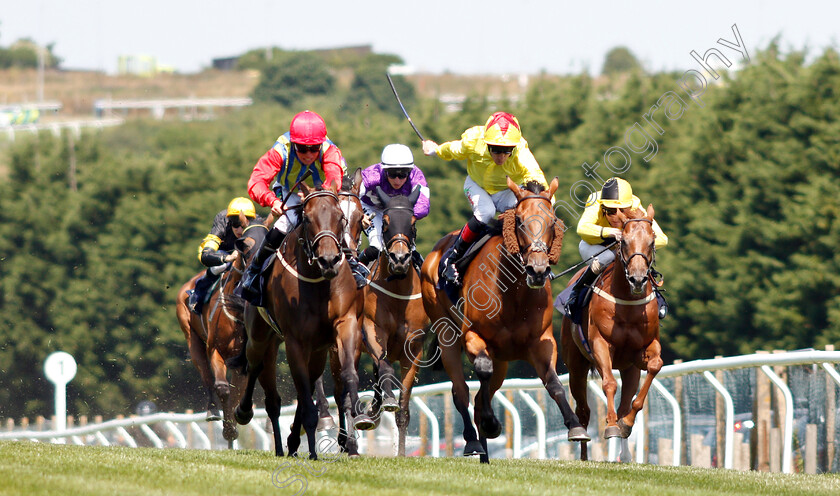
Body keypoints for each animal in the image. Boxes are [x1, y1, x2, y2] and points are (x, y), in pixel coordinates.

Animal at [171, 217, 262, 446]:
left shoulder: (243, 359)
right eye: (246, 247)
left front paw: (236, 423)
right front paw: (228, 430)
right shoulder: (215, 349)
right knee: (205, 374)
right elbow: (222, 386)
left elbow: (238, 390)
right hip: (192, 338)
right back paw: (212, 410)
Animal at [233, 179, 370, 462]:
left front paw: (358, 420)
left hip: (314, 350)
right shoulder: (295, 341)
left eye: (342, 217)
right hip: (261, 337)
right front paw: (313, 448)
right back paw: (250, 416)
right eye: (307, 218)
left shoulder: (346, 325)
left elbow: (346, 376)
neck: (319, 283)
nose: (330, 259)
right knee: (258, 371)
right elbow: (306, 397)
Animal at [360, 185, 430, 454]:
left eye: (413, 223)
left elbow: (404, 408)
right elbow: (384, 367)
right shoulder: (372, 329)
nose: (400, 259)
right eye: (387, 222)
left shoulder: (415, 347)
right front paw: (384, 403)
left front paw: (400, 454)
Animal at [420, 176, 592, 464]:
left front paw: (575, 426)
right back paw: (472, 441)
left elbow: (554, 382)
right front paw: (491, 424)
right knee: (461, 391)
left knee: (481, 395)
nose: (537, 269)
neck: (512, 293)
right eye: (520, 221)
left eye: (552, 221)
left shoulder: (541, 341)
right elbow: (481, 372)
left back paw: (485, 455)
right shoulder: (473, 335)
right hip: (448, 338)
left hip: (501, 360)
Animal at [560, 203, 668, 460]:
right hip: (576, 365)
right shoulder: (600, 344)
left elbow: (654, 366)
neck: (627, 301)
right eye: (624, 241)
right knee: (583, 409)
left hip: (629, 369)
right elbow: (609, 383)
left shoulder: (644, 349)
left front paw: (624, 424)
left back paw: (625, 452)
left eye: (652, 240)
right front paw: (609, 426)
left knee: (623, 403)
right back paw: (583, 450)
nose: (638, 279)